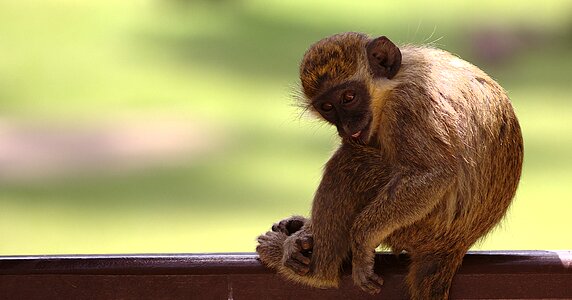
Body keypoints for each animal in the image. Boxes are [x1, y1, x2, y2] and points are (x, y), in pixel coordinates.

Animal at [256, 31, 524, 298]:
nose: (347, 128)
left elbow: (434, 174)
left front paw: (361, 241)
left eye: (349, 97)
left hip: (421, 227)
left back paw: (318, 272)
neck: (395, 83)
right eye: (328, 107)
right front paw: (304, 230)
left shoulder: (408, 105)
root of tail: (453, 245)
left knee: (349, 163)